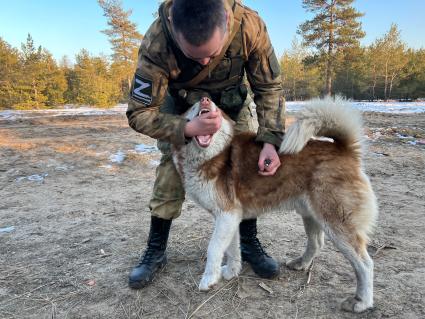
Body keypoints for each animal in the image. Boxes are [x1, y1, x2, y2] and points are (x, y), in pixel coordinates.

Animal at [171, 96, 376, 314]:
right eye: (193, 107)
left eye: (216, 109)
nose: (205, 100)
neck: (213, 155)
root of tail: (344, 149)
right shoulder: (229, 218)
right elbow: (232, 250)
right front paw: (231, 272)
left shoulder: (226, 216)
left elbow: (214, 248)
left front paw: (209, 279)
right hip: (311, 215)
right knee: (316, 243)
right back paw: (301, 263)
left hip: (337, 223)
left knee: (365, 264)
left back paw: (362, 301)